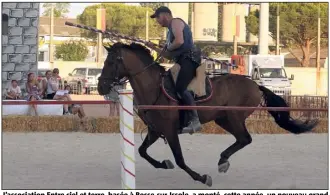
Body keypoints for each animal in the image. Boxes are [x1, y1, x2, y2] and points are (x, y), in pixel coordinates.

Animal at [96, 42, 318, 187]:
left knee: (245, 138)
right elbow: (143, 152)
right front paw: (164, 164)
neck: (154, 88)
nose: (100, 87)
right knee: (242, 139)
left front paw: (202, 178)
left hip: (234, 117)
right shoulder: (155, 130)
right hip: (223, 119)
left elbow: (180, 160)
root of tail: (255, 84)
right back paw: (223, 161)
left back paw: (222, 161)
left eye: (111, 62)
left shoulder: (170, 131)